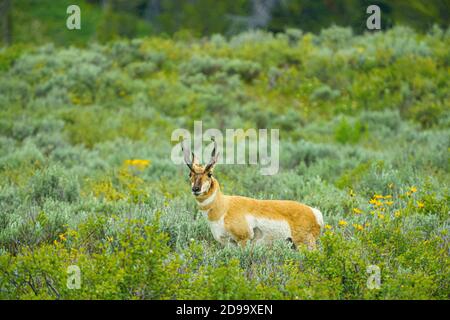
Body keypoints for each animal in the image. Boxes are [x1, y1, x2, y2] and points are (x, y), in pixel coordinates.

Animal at [181, 139, 326, 249]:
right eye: (190, 174)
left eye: (209, 174)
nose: (196, 189)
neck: (224, 207)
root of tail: (314, 212)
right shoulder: (229, 244)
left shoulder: (243, 240)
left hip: (305, 244)